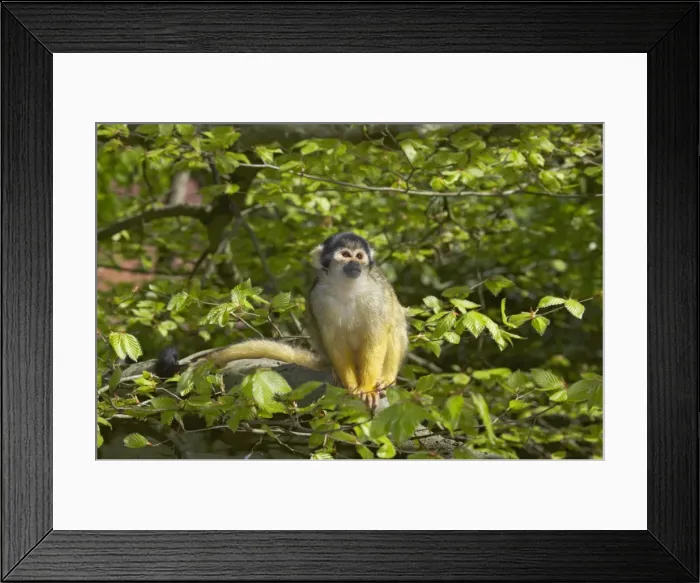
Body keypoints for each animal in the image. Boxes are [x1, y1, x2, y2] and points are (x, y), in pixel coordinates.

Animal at [169, 232, 409, 409]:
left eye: (359, 256)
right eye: (346, 254)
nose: (355, 264)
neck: (347, 287)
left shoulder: (375, 293)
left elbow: (376, 336)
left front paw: (366, 387)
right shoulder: (318, 296)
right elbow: (334, 340)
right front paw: (352, 385)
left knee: (394, 324)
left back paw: (385, 379)